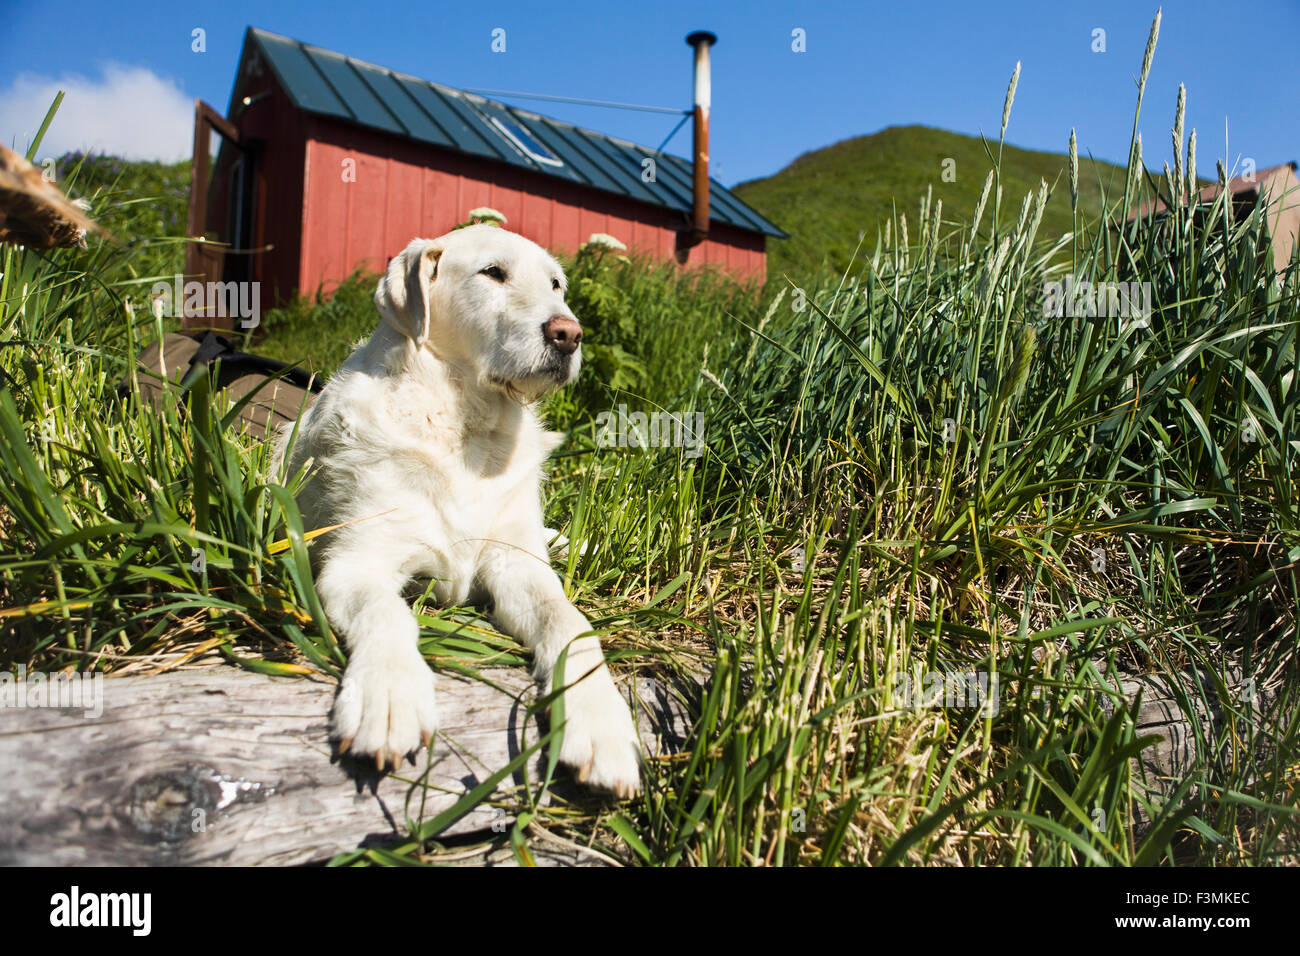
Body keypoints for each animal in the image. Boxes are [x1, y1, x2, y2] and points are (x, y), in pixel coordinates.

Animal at [274, 226, 639, 801]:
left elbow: (570, 622)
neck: (467, 427)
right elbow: (387, 613)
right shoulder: (354, 563)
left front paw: (599, 720)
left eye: (556, 285)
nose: (569, 334)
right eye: (493, 273)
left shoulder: (519, 566)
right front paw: (388, 696)